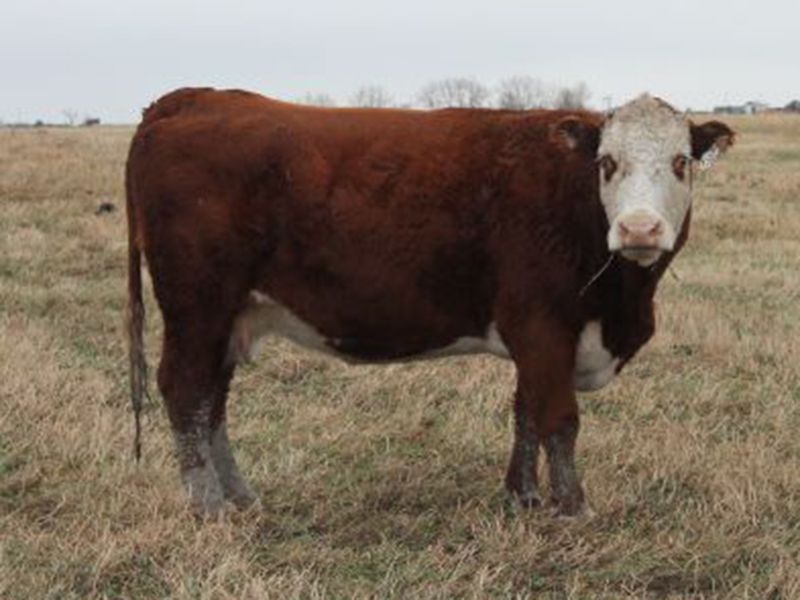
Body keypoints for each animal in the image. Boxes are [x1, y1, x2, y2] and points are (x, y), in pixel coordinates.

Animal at [125, 88, 734, 517]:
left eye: (680, 162)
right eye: (606, 162)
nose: (639, 228)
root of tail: (192, 98)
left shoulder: (533, 338)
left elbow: (525, 413)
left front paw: (523, 498)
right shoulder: (542, 325)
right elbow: (558, 419)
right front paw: (572, 508)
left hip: (229, 318)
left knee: (213, 403)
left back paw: (240, 496)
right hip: (198, 308)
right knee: (186, 391)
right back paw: (208, 506)